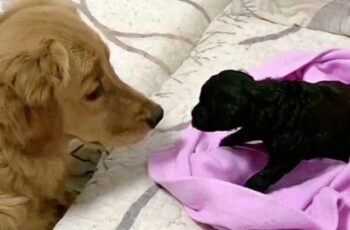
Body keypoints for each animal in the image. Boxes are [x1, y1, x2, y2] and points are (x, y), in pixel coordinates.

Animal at [191, 70, 350, 192]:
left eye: (206, 105)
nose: (192, 115)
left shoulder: (288, 153)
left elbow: (267, 174)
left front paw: (250, 188)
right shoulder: (258, 127)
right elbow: (242, 133)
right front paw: (225, 142)